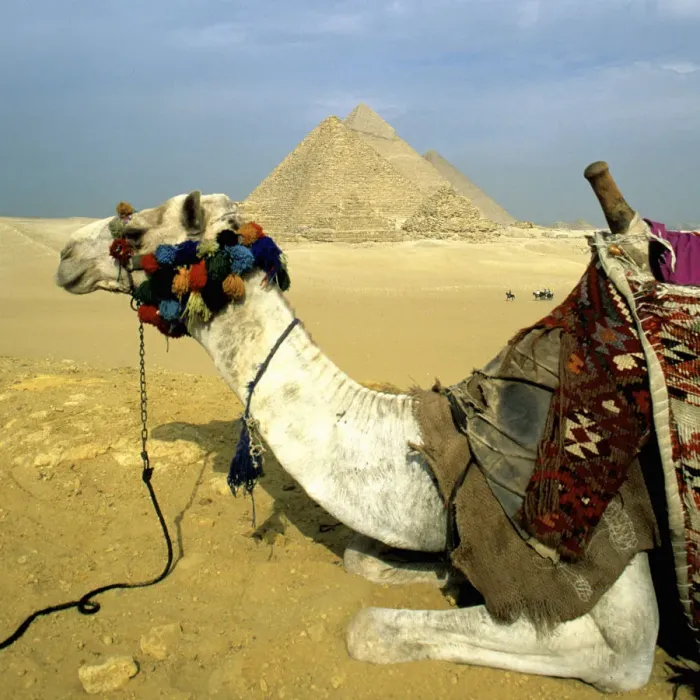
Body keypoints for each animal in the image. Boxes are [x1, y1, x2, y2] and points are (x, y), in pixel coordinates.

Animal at [55, 171, 679, 694]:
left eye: (134, 230)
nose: (64, 254)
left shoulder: (615, 622)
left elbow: (369, 627)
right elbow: (363, 558)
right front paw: (450, 577)